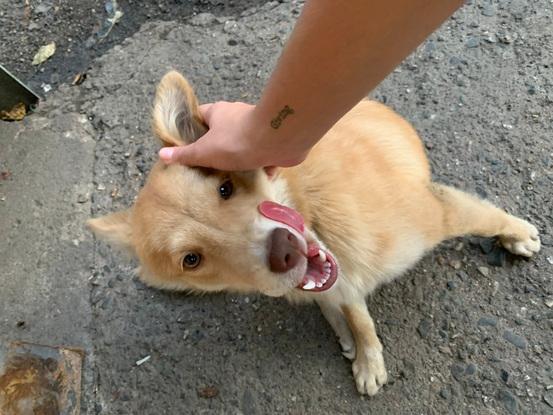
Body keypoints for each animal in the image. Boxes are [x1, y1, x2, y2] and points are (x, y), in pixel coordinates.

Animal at [88, 71, 540, 396]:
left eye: (225, 189)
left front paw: (517, 234)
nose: (284, 252)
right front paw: (365, 353)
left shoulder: (437, 210)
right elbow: (357, 314)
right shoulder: (337, 279)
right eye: (191, 259)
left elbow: (489, 215)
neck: (309, 208)